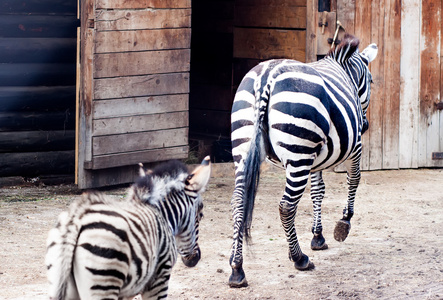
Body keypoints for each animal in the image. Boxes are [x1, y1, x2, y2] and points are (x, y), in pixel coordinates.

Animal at [229, 34, 378, 288]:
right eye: (371, 81)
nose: (366, 125)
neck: (343, 69)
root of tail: (266, 78)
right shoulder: (355, 145)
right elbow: (355, 179)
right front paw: (344, 223)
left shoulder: (316, 157)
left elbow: (318, 191)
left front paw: (318, 236)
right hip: (298, 154)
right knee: (286, 206)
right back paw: (299, 258)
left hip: (245, 148)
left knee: (239, 203)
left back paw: (237, 268)